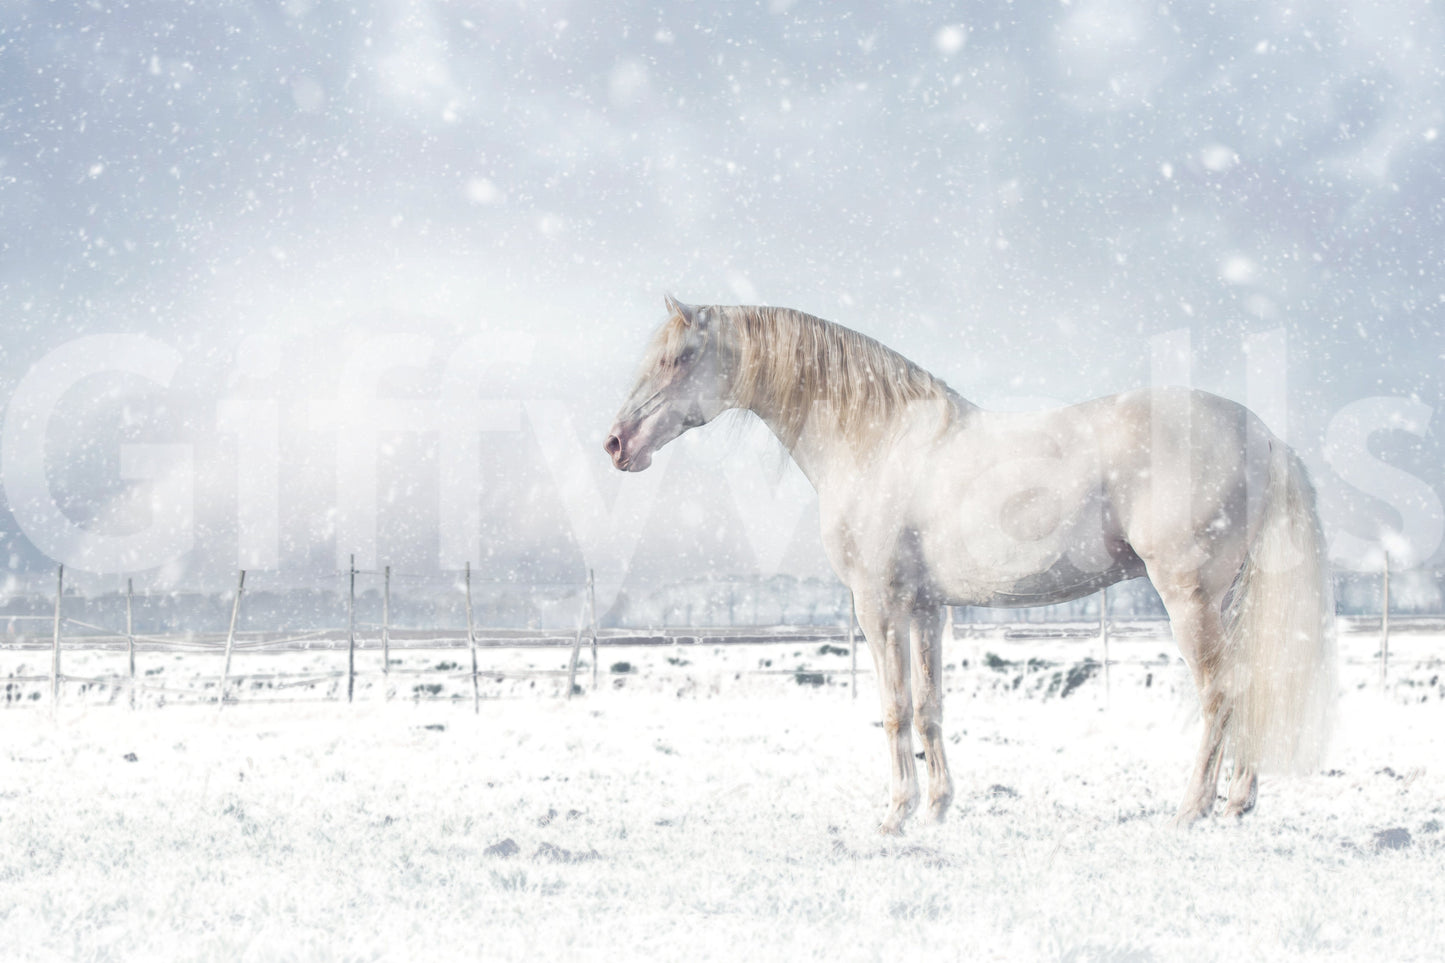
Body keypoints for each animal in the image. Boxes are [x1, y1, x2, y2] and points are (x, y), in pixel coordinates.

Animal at [604, 295, 1336, 834]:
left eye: (682, 357)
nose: (616, 443)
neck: (873, 439)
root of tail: (1265, 437)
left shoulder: (877, 604)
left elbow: (894, 707)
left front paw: (896, 815)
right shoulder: (927, 607)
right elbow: (930, 706)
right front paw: (937, 808)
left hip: (1188, 597)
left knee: (1219, 692)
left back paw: (1191, 809)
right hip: (1231, 599)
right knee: (1250, 683)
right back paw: (1238, 801)